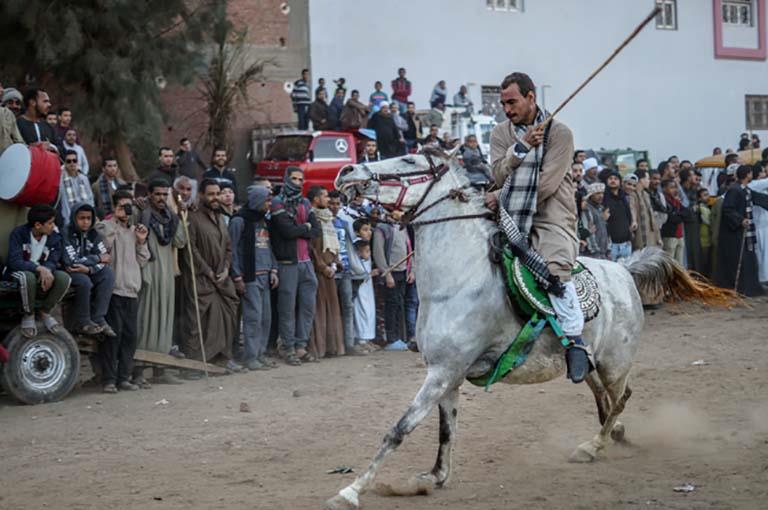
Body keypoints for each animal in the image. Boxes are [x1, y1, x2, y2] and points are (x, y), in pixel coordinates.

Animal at [326, 149, 732, 508]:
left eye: (409, 159)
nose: (346, 172)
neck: (458, 278)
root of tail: (623, 270)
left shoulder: (443, 373)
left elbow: (399, 429)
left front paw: (352, 490)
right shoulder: (447, 375)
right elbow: (445, 429)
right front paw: (434, 477)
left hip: (615, 363)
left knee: (621, 397)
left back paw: (593, 446)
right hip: (587, 362)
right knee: (604, 398)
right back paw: (611, 435)